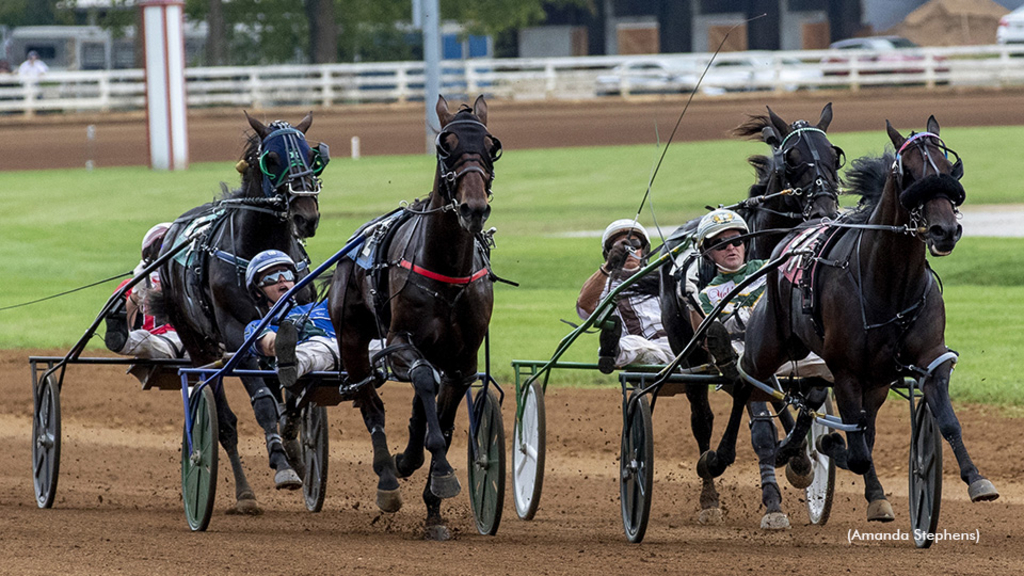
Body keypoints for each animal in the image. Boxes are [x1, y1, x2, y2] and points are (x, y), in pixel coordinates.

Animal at [156, 111, 323, 510]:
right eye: (271, 159)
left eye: (312, 155)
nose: (306, 217)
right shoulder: (236, 333)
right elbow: (262, 403)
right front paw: (282, 464)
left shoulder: (294, 319)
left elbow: (291, 387)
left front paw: (295, 444)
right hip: (198, 342)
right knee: (225, 421)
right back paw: (245, 494)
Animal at [329, 95, 501, 537]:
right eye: (445, 145)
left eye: (491, 145)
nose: (474, 208)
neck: (448, 271)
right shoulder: (398, 342)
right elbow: (423, 383)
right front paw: (432, 471)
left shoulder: (463, 362)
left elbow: (442, 418)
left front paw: (435, 507)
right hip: (351, 338)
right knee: (369, 402)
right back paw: (389, 478)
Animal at [659, 101, 843, 524]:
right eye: (791, 158)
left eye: (834, 155)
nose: (824, 207)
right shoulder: (742, 349)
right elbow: (758, 425)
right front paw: (771, 502)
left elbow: (807, 396)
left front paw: (800, 459)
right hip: (687, 353)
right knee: (703, 418)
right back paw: (710, 495)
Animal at [720, 115, 999, 520]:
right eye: (908, 173)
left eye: (949, 170)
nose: (944, 231)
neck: (889, 285)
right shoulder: (846, 372)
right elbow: (856, 450)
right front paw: (834, 451)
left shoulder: (929, 358)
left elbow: (945, 421)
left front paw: (975, 479)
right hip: (770, 343)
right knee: (745, 383)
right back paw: (721, 456)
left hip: (875, 380)